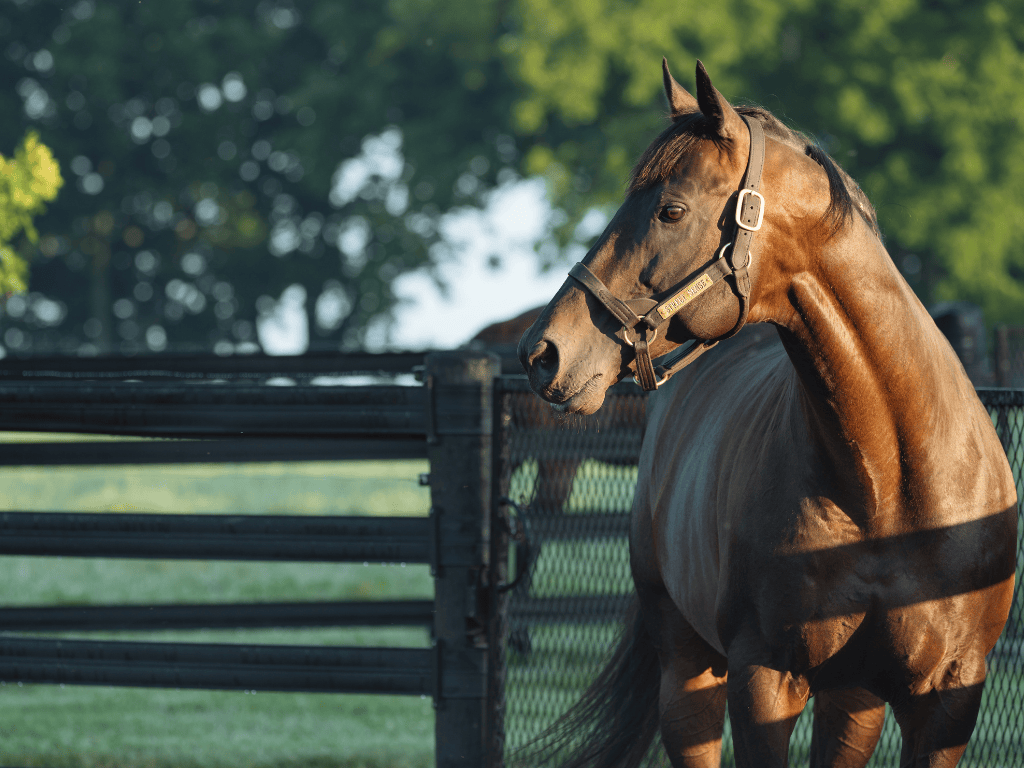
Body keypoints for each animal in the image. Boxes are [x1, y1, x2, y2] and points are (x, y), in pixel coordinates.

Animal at [520, 60, 1015, 768]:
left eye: (671, 209)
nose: (543, 353)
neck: (889, 485)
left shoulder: (946, 698)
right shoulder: (764, 683)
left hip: (852, 699)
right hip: (689, 670)